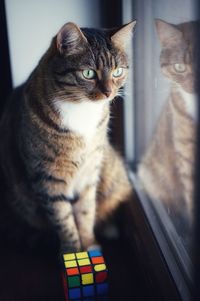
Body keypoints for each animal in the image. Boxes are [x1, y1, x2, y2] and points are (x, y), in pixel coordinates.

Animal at [0, 19, 136, 252]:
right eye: (88, 73)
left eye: (117, 71)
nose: (108, 92)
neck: (81, 111)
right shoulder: (47, 177)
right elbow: (63, 219)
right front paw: (72, 251)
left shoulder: (90, 172)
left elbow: (86, 212)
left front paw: (89, 245)